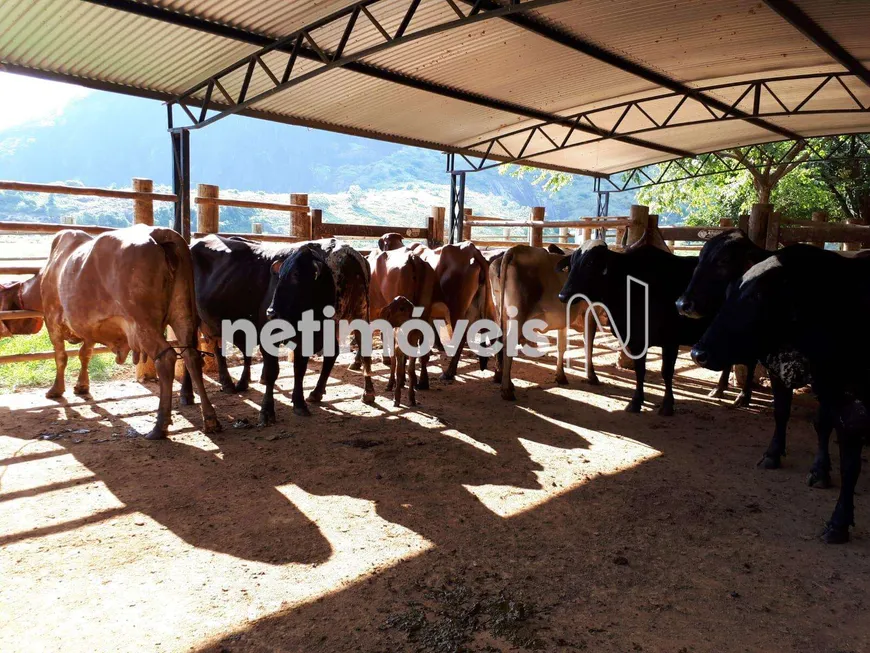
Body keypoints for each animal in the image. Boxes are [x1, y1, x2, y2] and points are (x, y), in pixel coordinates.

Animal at [4, 227, 221, 440]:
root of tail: (158, 233)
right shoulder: (88, 326)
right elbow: (85, 354)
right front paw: (82, 385)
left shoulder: (52, 320)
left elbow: (61, 357)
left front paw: (56, 389)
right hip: (182, 314)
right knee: (191, 356)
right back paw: (210, 419)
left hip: (143, 323)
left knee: (166, 357)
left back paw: (160, 426)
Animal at [182, 237, 336, 426]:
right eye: (278, 277)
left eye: (296, 275)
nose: (271, 312)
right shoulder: (268, 337)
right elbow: (271, 373)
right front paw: (267, 411)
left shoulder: (307, 339)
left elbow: (300, 370)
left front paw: (299, 403)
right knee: (189, 351)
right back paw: (187, 393)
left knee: (216, 348)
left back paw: (228, 384)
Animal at [564, 238, 712, 412]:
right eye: (571, 263)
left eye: (590, 262)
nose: (563, 294)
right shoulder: (636, 341)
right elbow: (640, 370)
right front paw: (636, 401)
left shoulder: (671, 341)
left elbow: (666, 372)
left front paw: (667, 405)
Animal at [692, 244, 870, 540]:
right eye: (729, 292)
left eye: (757, 297)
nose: (697, 352)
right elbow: (785, 414)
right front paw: (774, 454)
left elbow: (847, 461)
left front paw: (838, 522)